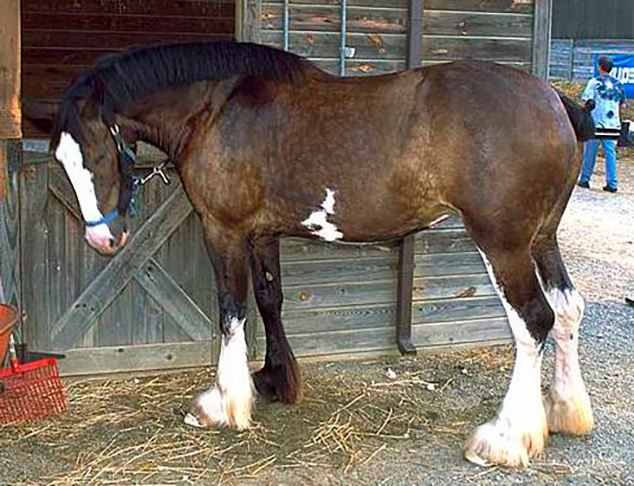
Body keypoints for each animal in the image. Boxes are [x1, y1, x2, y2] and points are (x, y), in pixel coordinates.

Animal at [24, 40, 596, 468]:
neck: (217, 108)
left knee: (534, 321)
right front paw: (274, 381)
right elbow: (268, 301)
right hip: (541, 239)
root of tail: (554, 99)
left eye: (100, 154)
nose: (103, 241)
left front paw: (223, 403)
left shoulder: (223, 231)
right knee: (567, 309)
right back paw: (565, 410)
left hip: (503, 244)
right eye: (61, 160)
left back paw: (505, 438)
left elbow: (231, 312)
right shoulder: (262, 234)